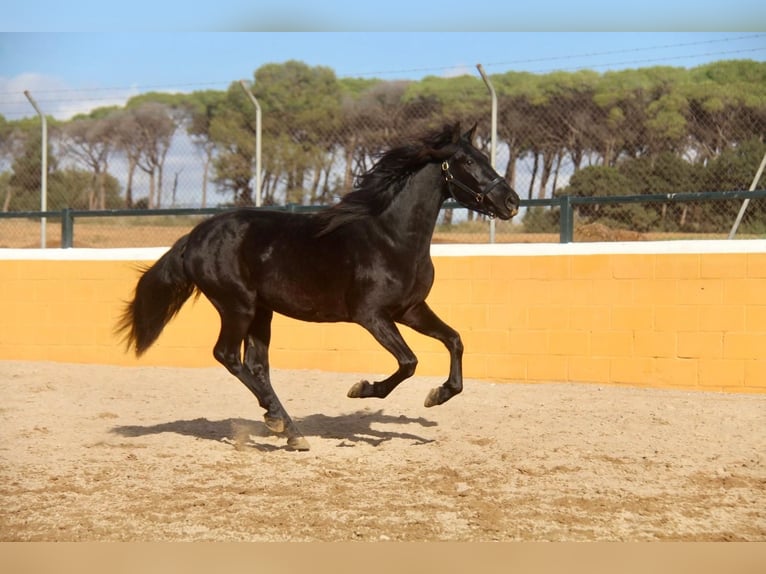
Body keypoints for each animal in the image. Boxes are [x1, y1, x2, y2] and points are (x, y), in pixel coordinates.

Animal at [117, 122, 520, 451]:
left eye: (485, 157)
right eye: (467, 162)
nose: (511, 202)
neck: (391, 238)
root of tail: (194, 238)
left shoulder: (410, 310)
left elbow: (454, 340)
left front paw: (438, 395)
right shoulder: (371, 315)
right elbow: (408, 362)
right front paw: (362, 390)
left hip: (262, 312)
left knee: (257, 366)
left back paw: (289, 430)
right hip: (237, 306)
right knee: (228, 356)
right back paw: (278, 421)